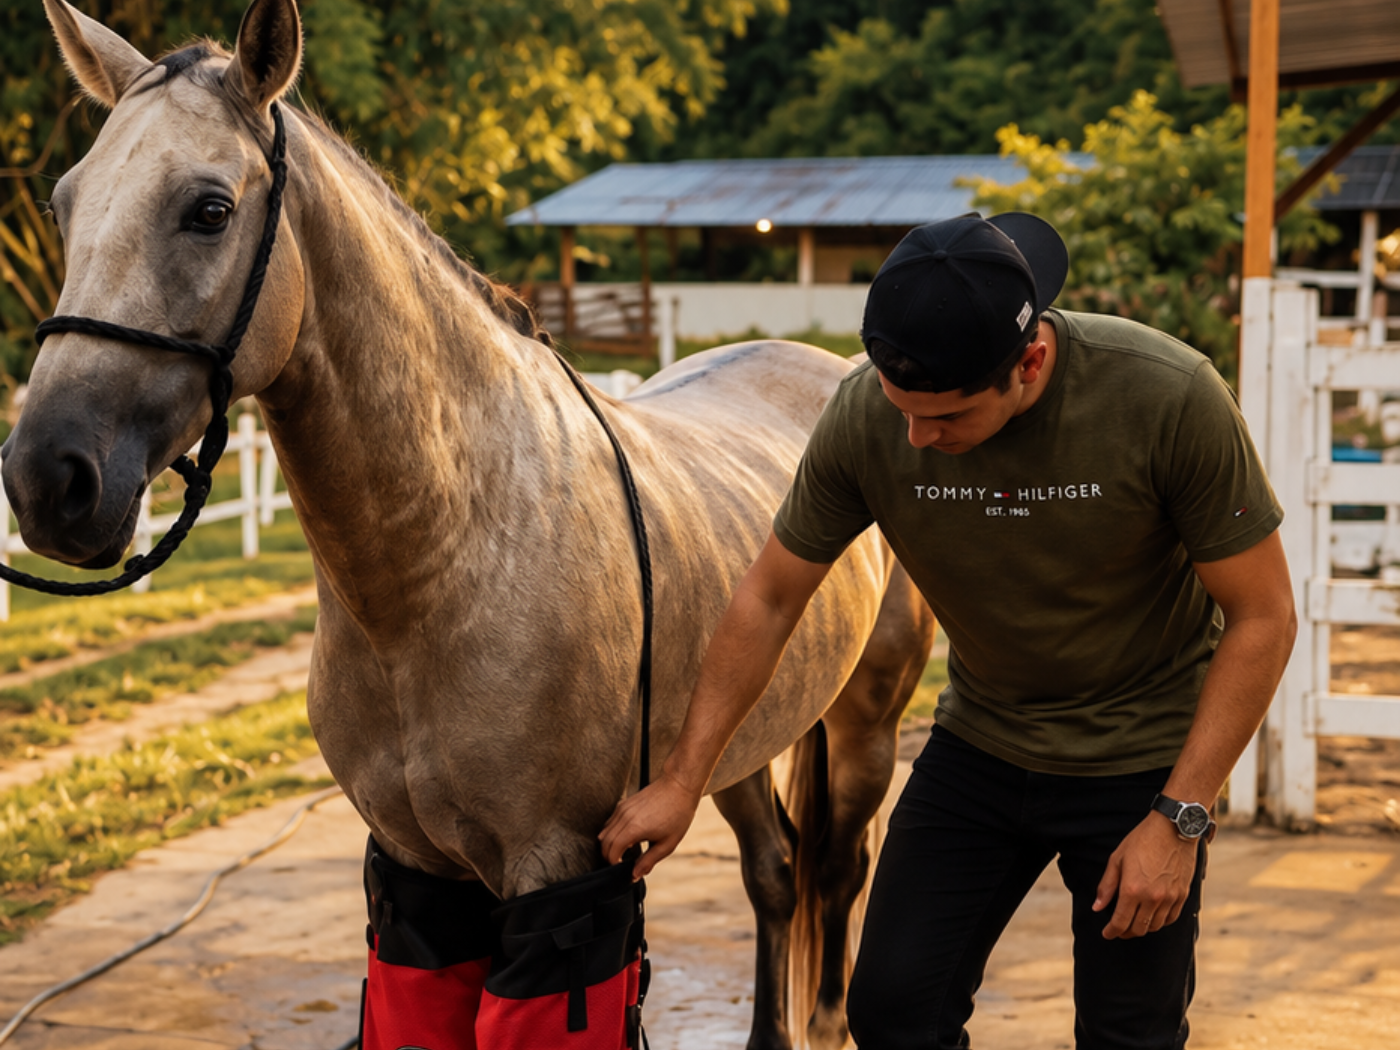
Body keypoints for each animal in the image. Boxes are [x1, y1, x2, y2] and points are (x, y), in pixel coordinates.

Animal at [5, 2, 935, 1046]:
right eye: (64, 206)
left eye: (209, 209)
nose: (46, 476)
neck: (444, 567)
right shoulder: (420, 884)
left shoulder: (559, 879)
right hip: (735, 741)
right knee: (776, 876)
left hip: (865, 724)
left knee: (839, 868)